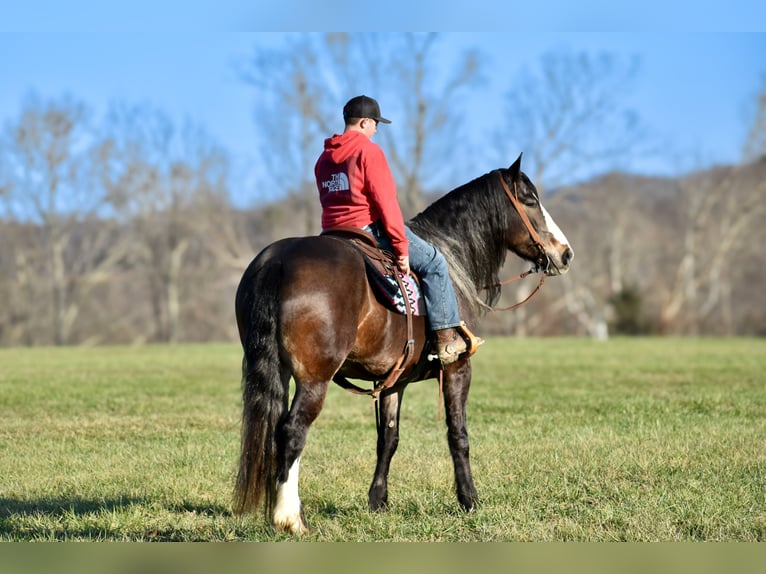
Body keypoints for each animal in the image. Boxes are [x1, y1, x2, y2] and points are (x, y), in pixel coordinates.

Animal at [234, 153, 576, 536]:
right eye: (529, 199)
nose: (565, 254)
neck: (452, 257)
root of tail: (278, 260)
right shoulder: (458, 369)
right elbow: (458, 434)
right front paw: (469, 499)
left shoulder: (393, 382)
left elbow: (388, 439)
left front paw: (378, 500)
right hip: (314, 379)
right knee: (292, 430)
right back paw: (290, 517)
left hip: (275, 369)